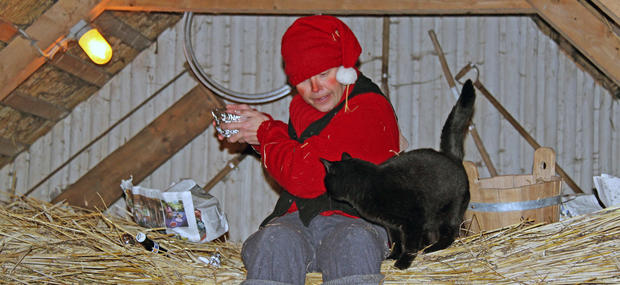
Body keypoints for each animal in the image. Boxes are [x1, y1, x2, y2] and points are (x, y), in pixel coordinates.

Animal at [320, 79, 474, 268]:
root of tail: (452, 156)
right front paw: (392, 256)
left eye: (325, 180)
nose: (326, 191)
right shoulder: (391, 225)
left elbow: (409, 244)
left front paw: (403, 262)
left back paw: (433, 248)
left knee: (450, 233)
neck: (367, 182)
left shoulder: (413, 221)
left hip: (449, 212)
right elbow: (396, 242)